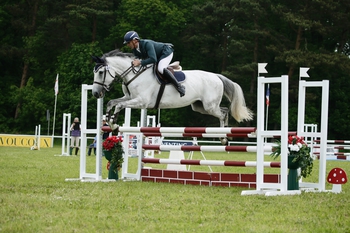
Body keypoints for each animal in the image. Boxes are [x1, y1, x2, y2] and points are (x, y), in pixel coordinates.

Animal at [91, 50, 253, 143]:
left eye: (100, 72)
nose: (95, 93)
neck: (134, 74)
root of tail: (217, 76)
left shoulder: (141, 102)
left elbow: (119, 105)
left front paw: (114, 123)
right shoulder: (129, 98)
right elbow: (112, 102)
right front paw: (109, 120)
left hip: (210, 106)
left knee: (223, 113)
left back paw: (224, 137)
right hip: (200, 107)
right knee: (224, 110)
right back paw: (224, 135)